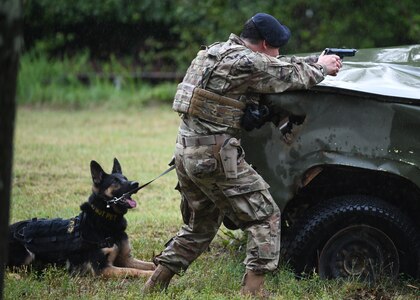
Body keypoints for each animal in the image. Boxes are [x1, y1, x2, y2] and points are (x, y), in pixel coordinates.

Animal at [6, 158, 157, 278]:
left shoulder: (125, 259)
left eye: (125, 178)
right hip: (27, 255)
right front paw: (149, 275)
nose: (136, 184)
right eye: (115, 181)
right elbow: (131, 270)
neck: (107, 219)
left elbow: (150, 264)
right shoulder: (102, 268)